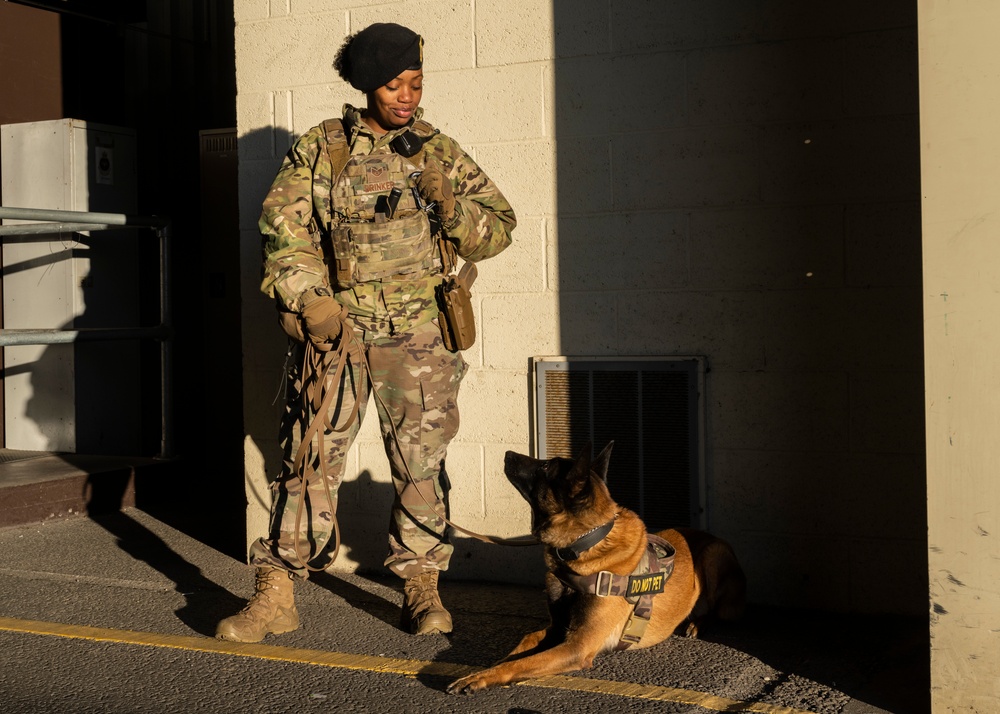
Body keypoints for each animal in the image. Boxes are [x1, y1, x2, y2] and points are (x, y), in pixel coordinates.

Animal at [446, 442, 744, 692]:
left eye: (545, 467)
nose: (508, 453)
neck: (582, 546)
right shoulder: (557, 628)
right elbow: (523, 645)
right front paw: (488, 668)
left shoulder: (577, 646)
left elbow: (522, 662)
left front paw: (480, 678)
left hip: (714, 556)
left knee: (719, 610)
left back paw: (697, 623)